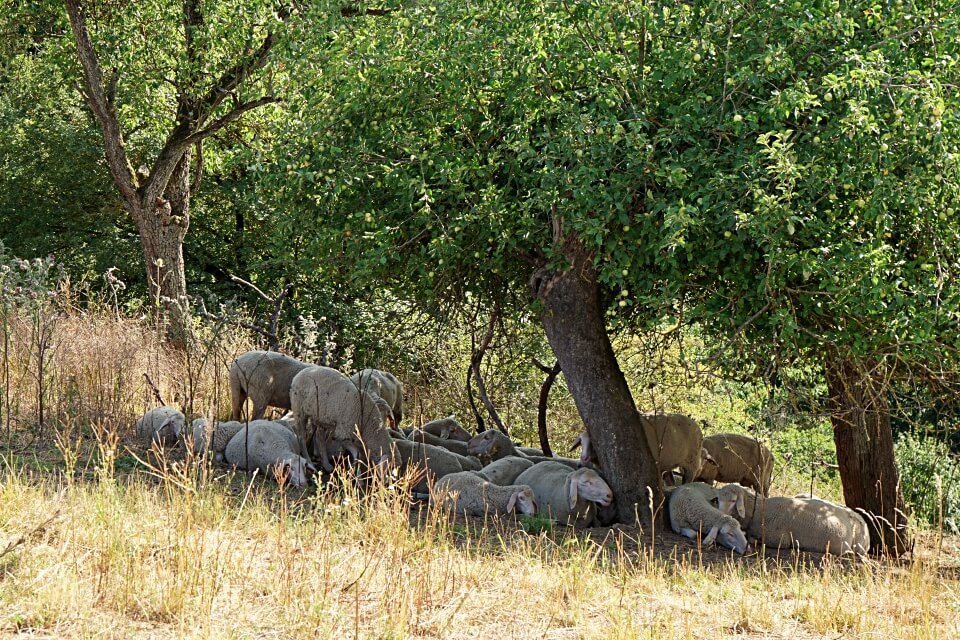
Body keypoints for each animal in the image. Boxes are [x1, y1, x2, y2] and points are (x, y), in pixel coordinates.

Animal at [568, 412, 704, 482]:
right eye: (581, 442)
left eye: (593, 443)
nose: (583, 460)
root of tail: (697, 427)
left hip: (692, 463)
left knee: (688, 478)